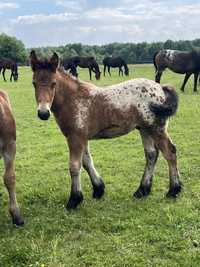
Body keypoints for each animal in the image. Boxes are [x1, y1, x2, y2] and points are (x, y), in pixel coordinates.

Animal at [30, 50, 183, 211]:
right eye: (34, 83)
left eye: (53, 83)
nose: (43, 113)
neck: (73, 99)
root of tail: (161, 88)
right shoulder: (82, 137)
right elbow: (87, 162)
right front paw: (98, 189)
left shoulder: (75, 137)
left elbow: (75, 166)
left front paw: (74, 199)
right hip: (144, 129)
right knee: (152, 154)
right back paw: (142, 190)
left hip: (157, 129)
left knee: (170, 152)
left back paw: (173, 190)